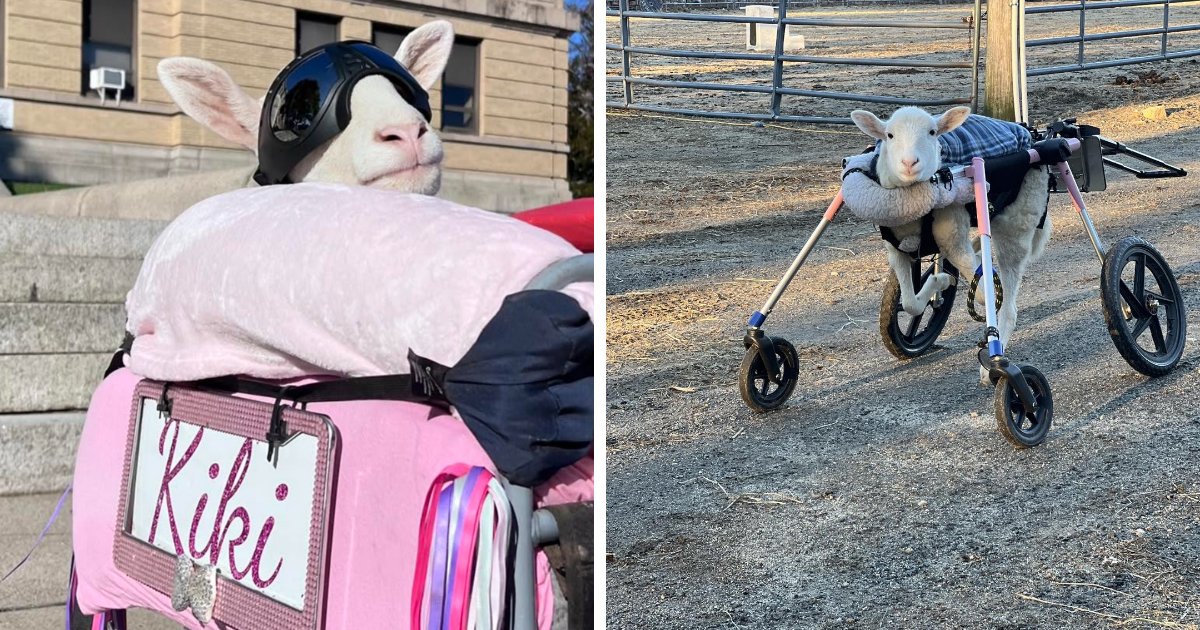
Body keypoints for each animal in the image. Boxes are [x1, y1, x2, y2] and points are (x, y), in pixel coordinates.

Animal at [848, 106, 1052, 383]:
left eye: (933, 132)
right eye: (889, 135)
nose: (909, 163)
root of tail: (1031, 135)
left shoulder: (952, 234)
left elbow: (983, 295)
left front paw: (945, 281)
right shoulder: (897, 249)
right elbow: (911, 303)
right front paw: (940, 280)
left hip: (1018, 221)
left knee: (1008, 303)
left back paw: (992, 367)